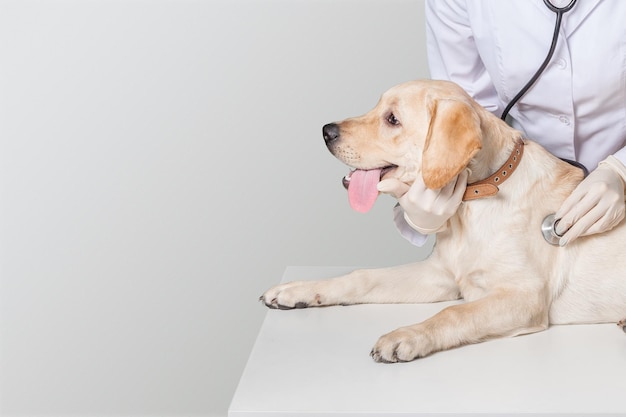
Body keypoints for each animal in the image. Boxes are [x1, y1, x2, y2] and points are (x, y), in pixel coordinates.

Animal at [258, 79, 624, 360]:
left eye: (392, 119)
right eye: (377, 107)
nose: (326, 131)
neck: (477, 199)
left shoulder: (524, 297)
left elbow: (454, 312)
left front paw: (406, 336)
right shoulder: (439, 274)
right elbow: (362, 277)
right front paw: (299, 290)